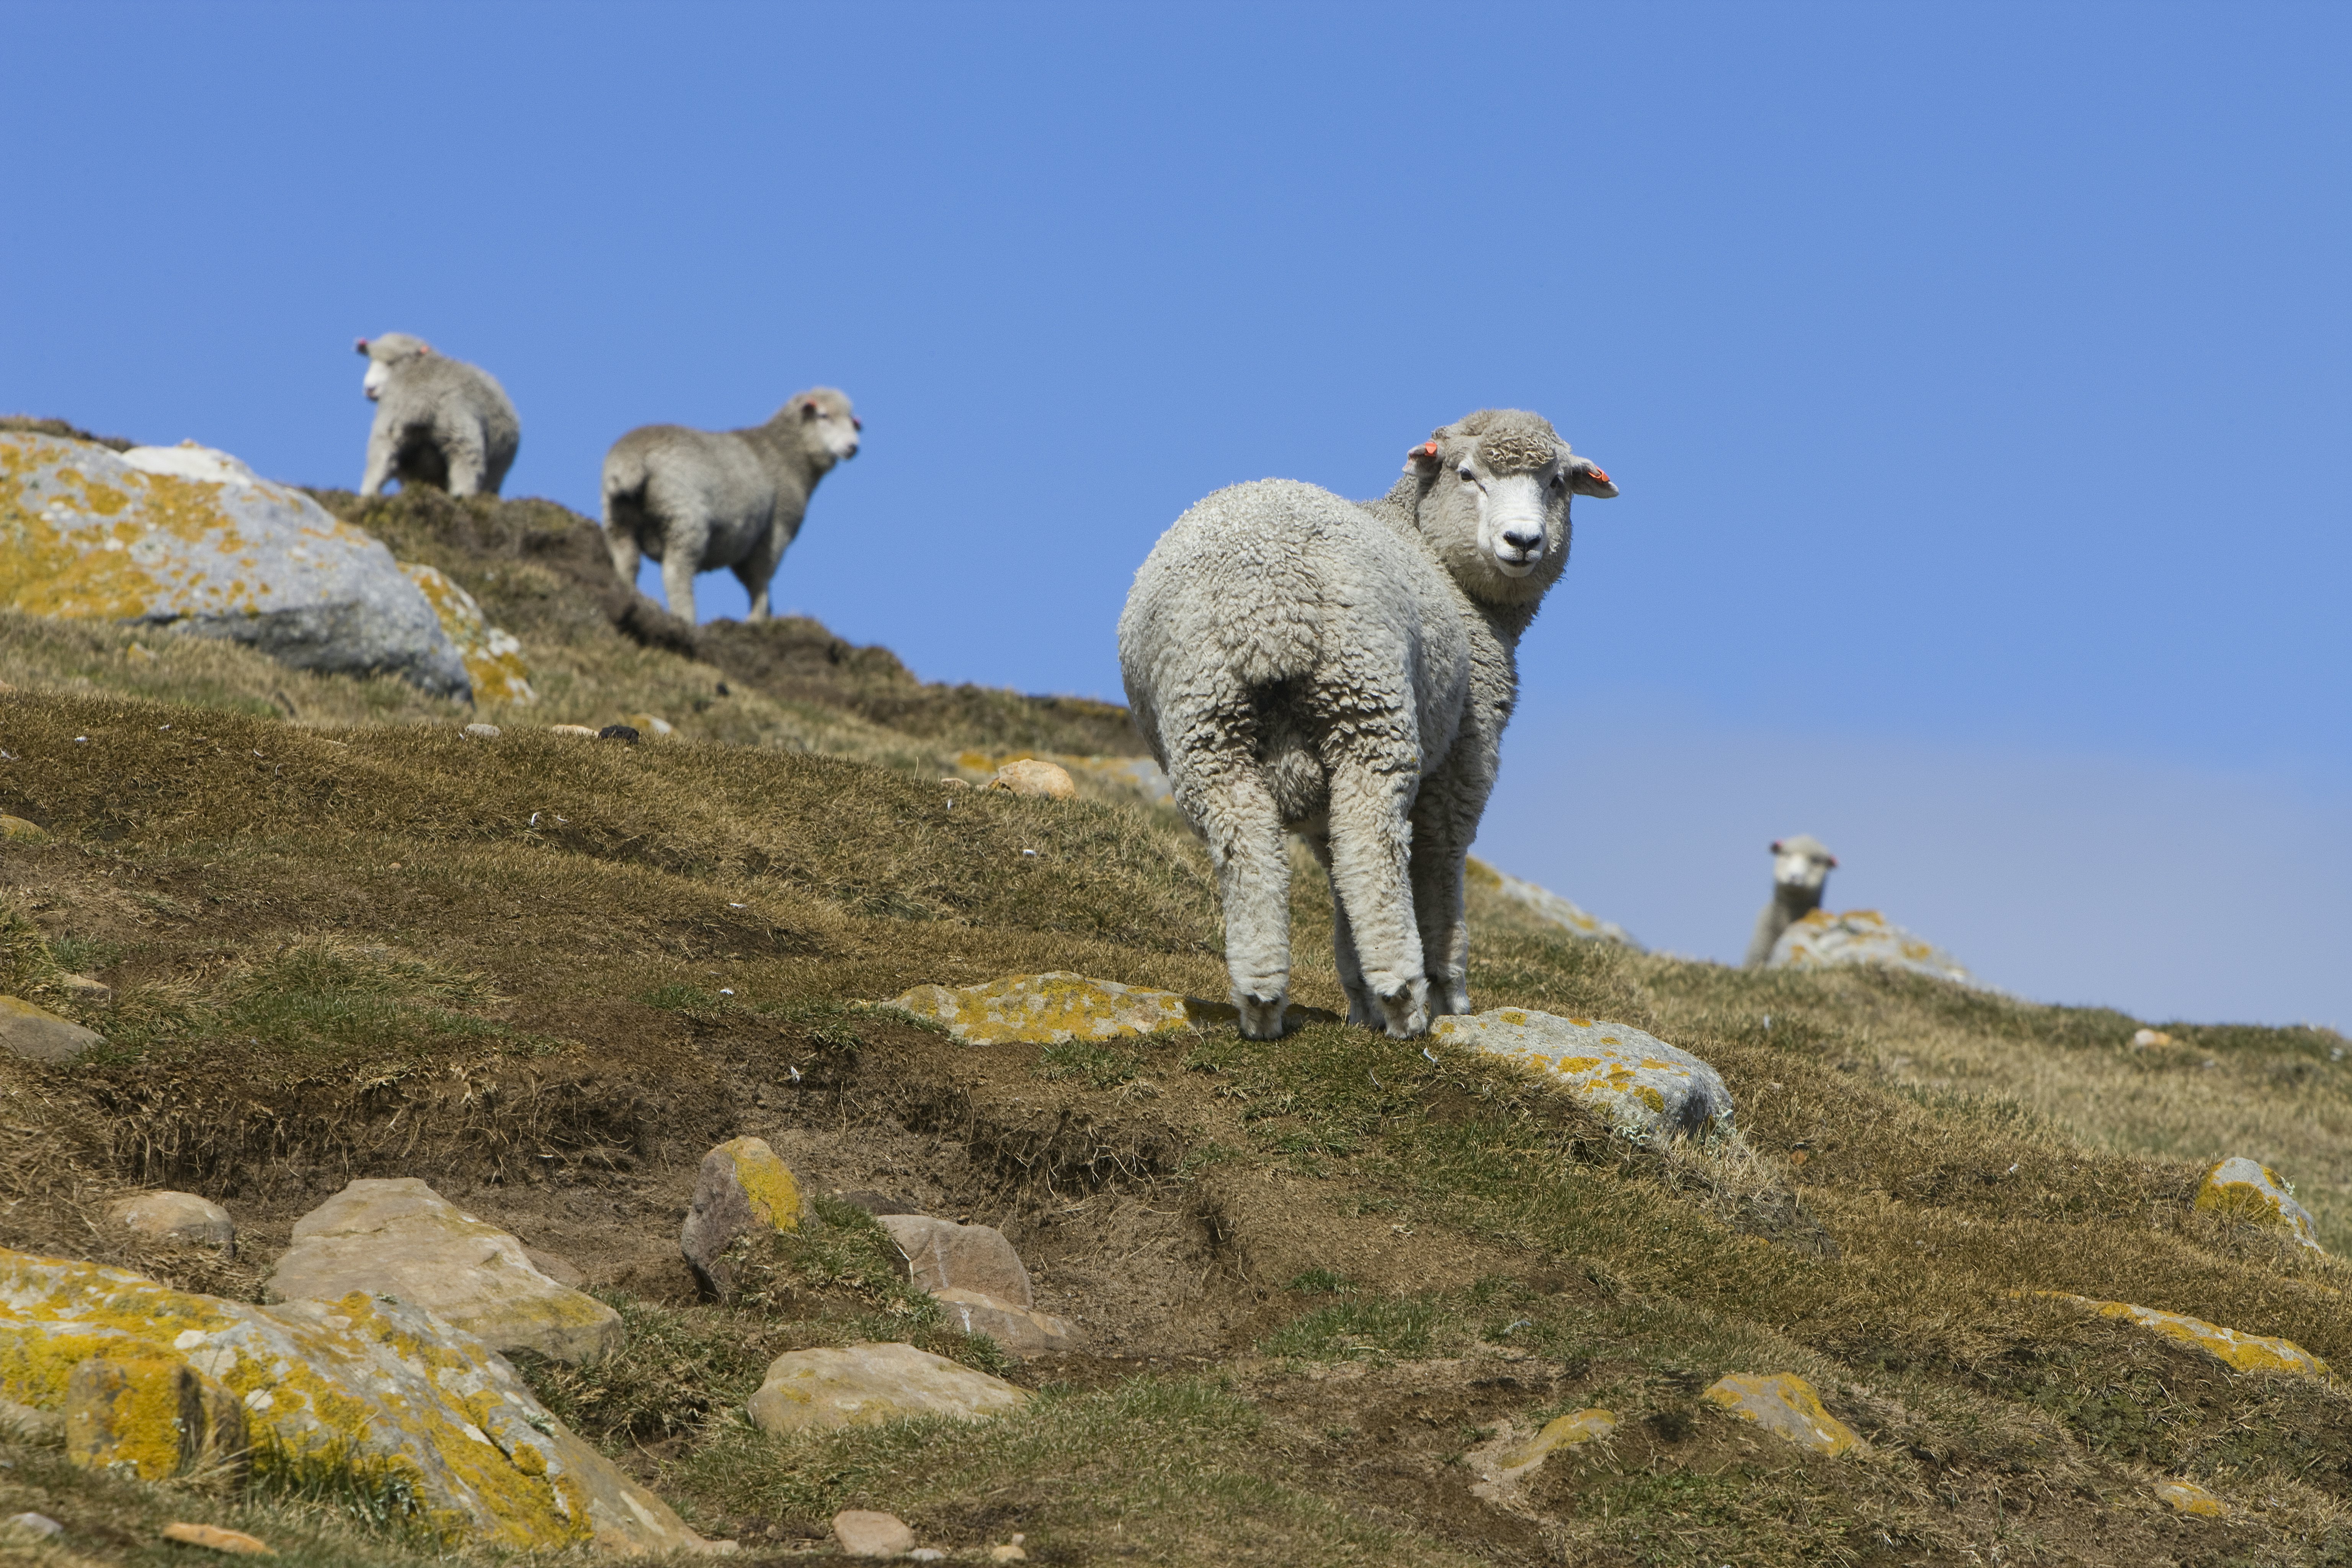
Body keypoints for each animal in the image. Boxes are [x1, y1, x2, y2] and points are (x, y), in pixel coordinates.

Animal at [353, 334, 519, 501]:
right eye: (371, 361)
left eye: (393, 362)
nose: (370, 389)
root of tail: (423, 395)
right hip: (457, 430)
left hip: (391, 427)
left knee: (380, 462)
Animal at [597, 392, 865, 625]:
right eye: (824, 416)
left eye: (853, 423)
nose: (853, 447)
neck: (786, 453)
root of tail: (632, 457)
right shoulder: (774, 531)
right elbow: (760, 579)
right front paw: (757, 619)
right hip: (684, 519)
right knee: (676, 573)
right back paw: (686, 619)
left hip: (618, 517)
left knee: (627, 561)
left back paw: (631, 596)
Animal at [1115, 411, 1618, 1034]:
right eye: (1467, 474)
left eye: (1556, 482)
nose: (1523, 542)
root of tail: (1266, 599)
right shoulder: (1465, 754)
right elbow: (1439, 863)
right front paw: (1446, 993)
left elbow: (1337, 877)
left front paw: (1358, 1001)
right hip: (1368, 707)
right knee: (1372, 844)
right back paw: (1405, 998)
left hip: (1205, 724)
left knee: (1252, 847)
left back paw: (1262, 1001)